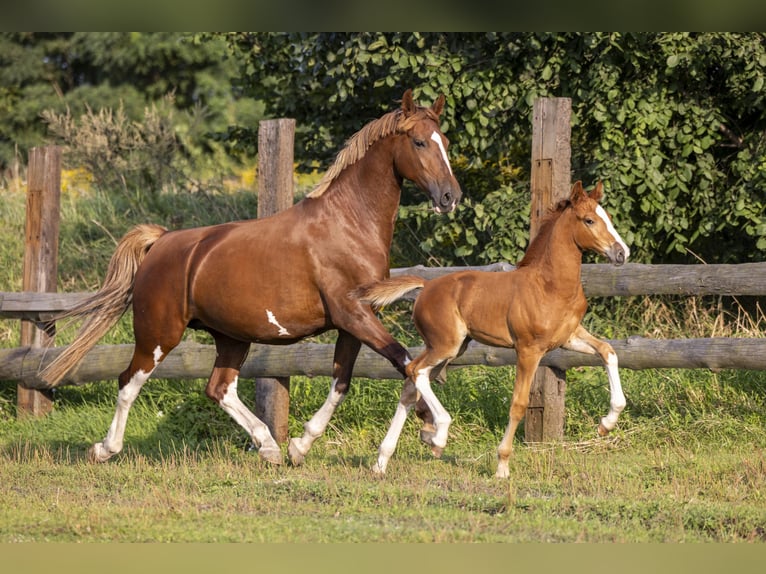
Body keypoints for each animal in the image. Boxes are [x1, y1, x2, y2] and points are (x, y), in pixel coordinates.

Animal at [42, 89, 462, 468]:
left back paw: (269, 446)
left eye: (446, 142)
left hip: (231, 337)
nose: (450, 197)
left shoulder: (354, 323)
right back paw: (104, 449)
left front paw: (299, 447)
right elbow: (406, 361)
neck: (348, 224)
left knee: (219, 388)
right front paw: (436, 430)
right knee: (129, 382)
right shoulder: (352, 315)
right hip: (158, 334)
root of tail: (160, 242)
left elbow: (345, 382)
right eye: (419, 141)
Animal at [356, 182, 632, 480]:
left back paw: (385, 459)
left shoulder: (567, 338)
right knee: (415, 371)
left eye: (608, 218)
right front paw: (502, 465)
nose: (622, 253)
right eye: (589, 220)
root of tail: (425, 287)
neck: (551, 285)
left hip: (452, 348)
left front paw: (607, 423)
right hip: (445, 345)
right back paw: (438, 435)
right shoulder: (528, 350)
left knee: (410, 384)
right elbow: (518, 404)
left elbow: (608, 351)